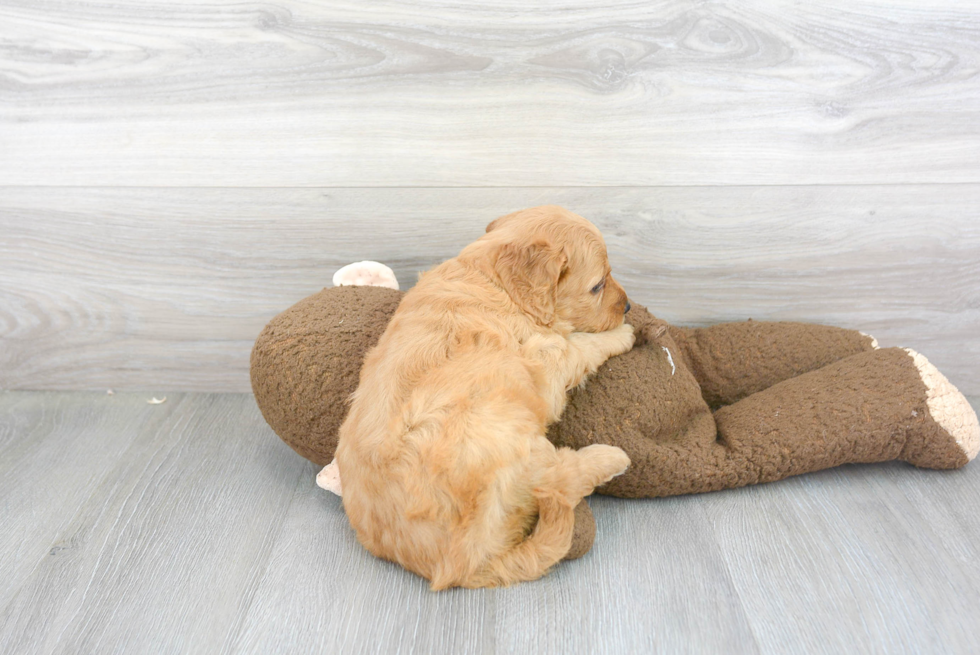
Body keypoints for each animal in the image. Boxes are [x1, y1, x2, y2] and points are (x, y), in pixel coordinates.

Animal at [336, 205, 636, 588]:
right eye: (597, 286)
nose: (627, 307)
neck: (495, 281)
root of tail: (459, 567)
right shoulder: (545, 360)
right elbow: (582, 345)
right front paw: (623, 334)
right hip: (509, 441)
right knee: (558, 480)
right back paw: (610, 458)